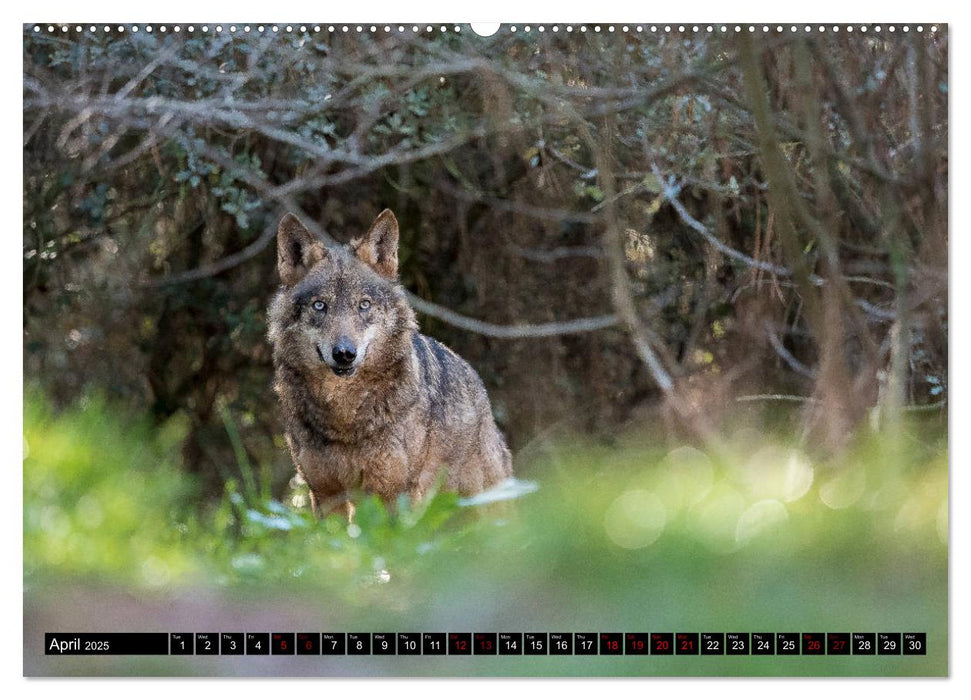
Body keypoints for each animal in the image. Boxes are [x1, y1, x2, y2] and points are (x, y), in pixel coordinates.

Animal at [262, 208, 512, 520]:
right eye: (320, 305)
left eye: (364, 305)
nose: (344, 353)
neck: (344, 417)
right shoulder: (325, 494)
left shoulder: (394, 491)